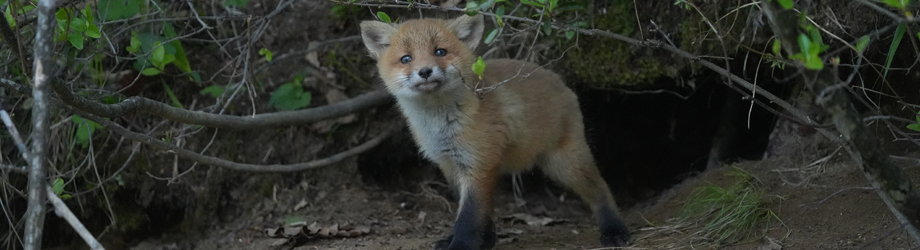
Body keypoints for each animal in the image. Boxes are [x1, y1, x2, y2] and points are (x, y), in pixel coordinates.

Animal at [360, 14, 632, 250]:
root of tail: (557, 78)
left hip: (565, 164)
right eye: (406, 59)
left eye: (440, 52)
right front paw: (485, 241)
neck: (441, 126)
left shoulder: (478, 162)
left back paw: (615, 230)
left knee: (600, 190)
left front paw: (461, 245)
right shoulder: (453, 166)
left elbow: (469, 217)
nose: (425, 71)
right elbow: (481, 212)